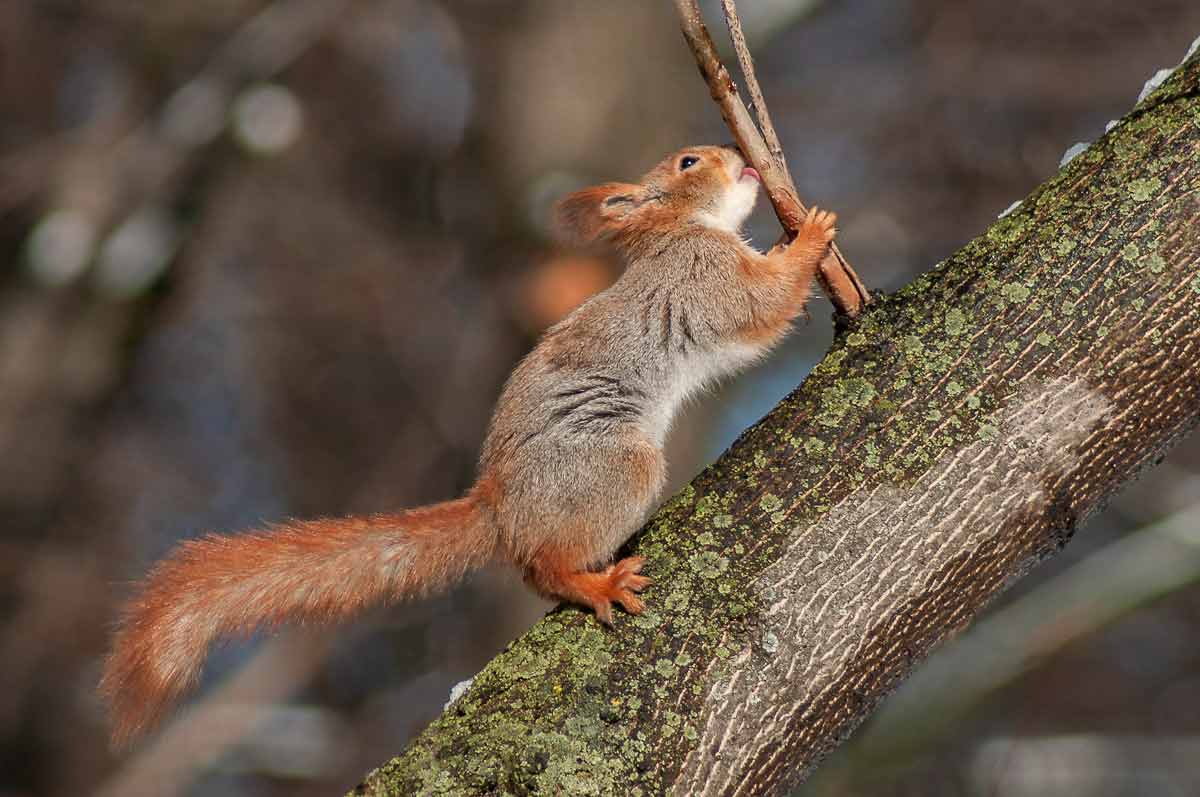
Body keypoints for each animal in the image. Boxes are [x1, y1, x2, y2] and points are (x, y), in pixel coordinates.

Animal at [99, 144, 837, 746]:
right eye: (688, 163)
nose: (736, 155)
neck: (682, 231)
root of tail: (499, 505)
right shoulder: (704, 278)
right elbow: (760, 307)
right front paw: (810, 237)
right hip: (615, 468)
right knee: (543, 568)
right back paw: (593, 582)